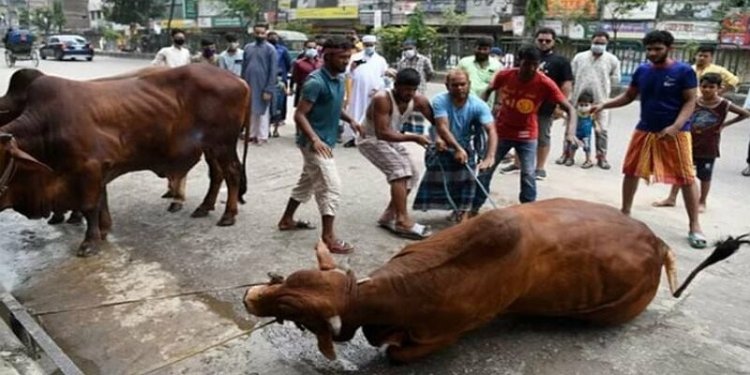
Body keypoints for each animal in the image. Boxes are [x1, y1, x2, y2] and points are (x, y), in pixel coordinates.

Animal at [0, 65, 253, 258]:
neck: (46, 126)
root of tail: (240, 80)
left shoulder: (88, 169)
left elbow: (89, 205)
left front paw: (90, 242)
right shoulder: (100, 170)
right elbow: (101, 201)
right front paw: (104, 230)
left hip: (223, 144)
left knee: (232, 173)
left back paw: (228, 215)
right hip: (212, 147)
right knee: (217, 174)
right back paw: (204, 206)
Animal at [245, 200, 748, 364]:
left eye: (291, 312)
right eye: (284, 278)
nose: (251, 297)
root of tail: (657, 243)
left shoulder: (440, 335)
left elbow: (395, 353)